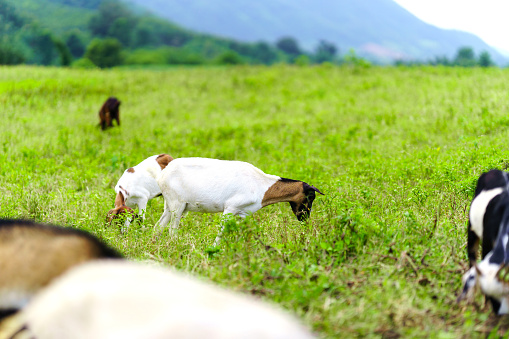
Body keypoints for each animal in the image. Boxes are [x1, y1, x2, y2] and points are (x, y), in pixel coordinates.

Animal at [155, 158, 322, 246]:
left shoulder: (243, 214)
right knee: (172, 230)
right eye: (311, 197)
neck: (261, 185)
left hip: (170, 205)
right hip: (177, 205)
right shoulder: (230, 208)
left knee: (158, 226)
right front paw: (214, 249)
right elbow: (221, 231)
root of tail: (163, 173)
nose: (304, 218)